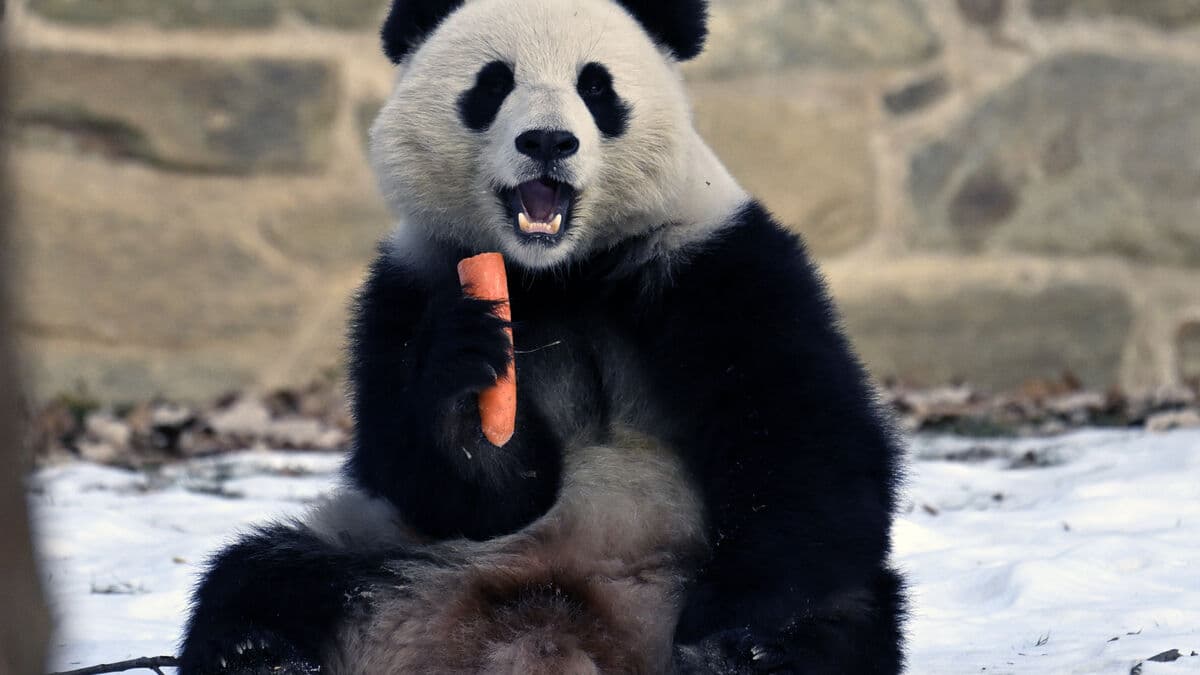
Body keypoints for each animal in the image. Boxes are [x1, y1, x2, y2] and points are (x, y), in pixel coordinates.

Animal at [179, 0, 906, 673]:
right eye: (493, 83)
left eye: (597, 87)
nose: (548, 142)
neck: (558, 273)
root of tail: (566, 631)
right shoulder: (408, 285)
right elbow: (449, 485)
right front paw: (467, 375)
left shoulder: (717, 262)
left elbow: (801, 439)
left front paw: (737, 638)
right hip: (397, 561)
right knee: (261, 576)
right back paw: (263, 652)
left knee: (846, 614)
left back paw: (749, 656)